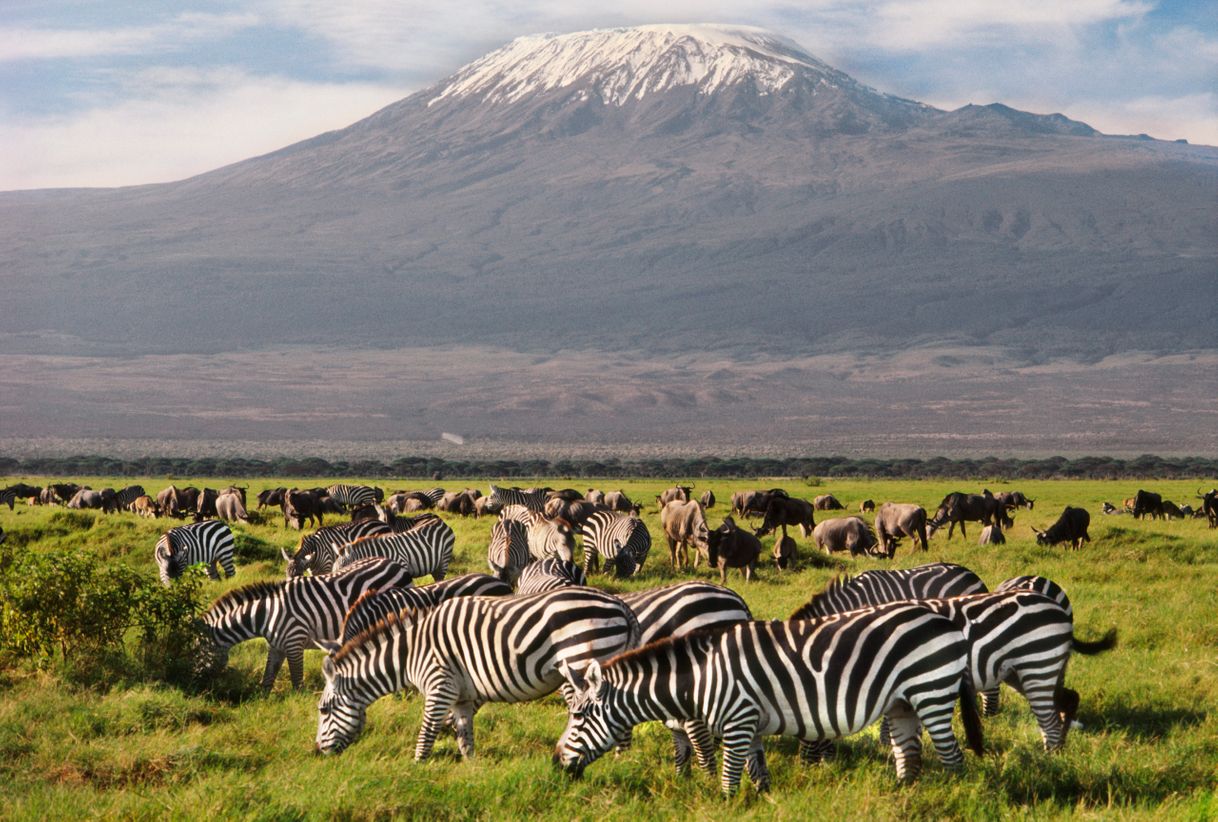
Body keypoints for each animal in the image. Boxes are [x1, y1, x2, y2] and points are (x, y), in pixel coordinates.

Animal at [197, 555, 411, 691]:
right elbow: (268, 679)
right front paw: (263, 702)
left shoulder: (294, 642)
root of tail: (396, 564)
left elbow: (296, 681)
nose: (199, 686)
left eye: (197, 651)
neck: (265, 614)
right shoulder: (276, 646)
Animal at [314, 584, 643, 759]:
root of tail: (617, 603)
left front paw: (416, 769)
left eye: (323, 709)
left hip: (585, 659)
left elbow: (426, 732)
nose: (317, 752)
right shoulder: (460, 695)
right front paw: (472, 771)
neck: (410, 653)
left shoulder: (439, 685)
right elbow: (464, 735)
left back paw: (618, 763)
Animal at [557, 604, 984, 798]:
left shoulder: (736, 719)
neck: (702, 675)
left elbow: (730, 775)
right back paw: (902, 795)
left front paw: (726, 805)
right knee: (908, 755)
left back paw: (957, 791)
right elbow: (756, 769)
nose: (556, 763)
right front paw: (762, 800)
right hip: (901, 703)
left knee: (952, 757)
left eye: (578, 716)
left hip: (930, 692)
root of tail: (943, 619)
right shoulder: (752, 723)